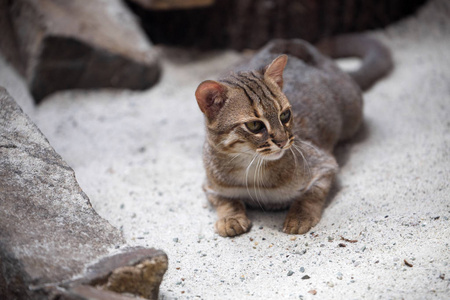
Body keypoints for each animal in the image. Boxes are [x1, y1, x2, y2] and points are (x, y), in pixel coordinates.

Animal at [195, 34, 392, 237]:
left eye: (285, 115)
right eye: (254, 125)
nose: (282, 141)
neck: (251, 170)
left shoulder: (325, 166)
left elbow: (311, 195)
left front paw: (299, 216)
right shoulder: (210, 184)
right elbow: (224, 200)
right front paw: (230, 217)